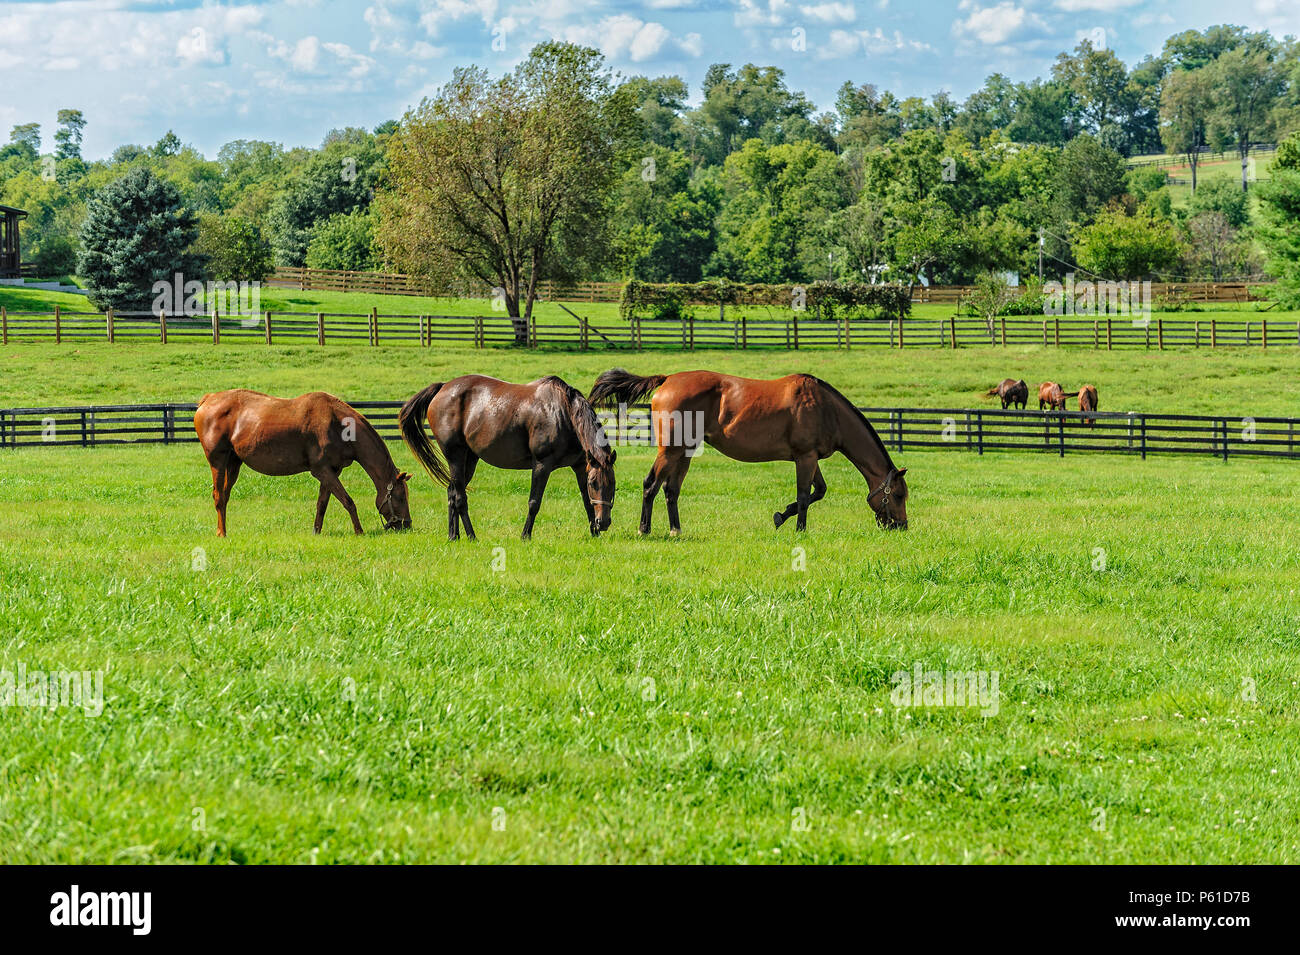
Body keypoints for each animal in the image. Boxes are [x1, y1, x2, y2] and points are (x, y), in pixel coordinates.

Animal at [192, 389, 410, 537]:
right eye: (400, 497)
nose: (407, 524)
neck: (338, 424)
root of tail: (208, 399)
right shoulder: (322, 471)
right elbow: (348, 501)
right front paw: (359, 531)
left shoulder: (332, 471)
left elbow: (322, 504)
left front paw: (316, 531)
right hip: (218, 462)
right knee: (219, 496)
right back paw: (222, 533)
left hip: (234, 464)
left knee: (225, 496)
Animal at [397, 374, 616, 540]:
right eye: (594, 483)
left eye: (613, 484)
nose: (604, 523)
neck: (564, 413)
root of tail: (443, 388)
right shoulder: (542, 465)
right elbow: (534, 502)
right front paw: (525, 535)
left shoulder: (580, 466)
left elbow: (586, 501)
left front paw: (594, 534)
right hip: (455, 456)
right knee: (459, 497)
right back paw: (471, 536)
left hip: (469, 459)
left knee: (452, 492)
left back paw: (454, 536)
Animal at [587, 369, 904, 537]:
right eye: (899, 496)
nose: (901, 526)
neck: (826, 408)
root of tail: (667, 379)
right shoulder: (805, 457)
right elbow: (805, 496)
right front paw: (799, 528)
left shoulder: (811, 458)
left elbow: (819, 491)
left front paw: (781, 515)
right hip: (671, 450)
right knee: (651, 485)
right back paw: (644, 528)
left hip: (684, 452)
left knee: (671, 490)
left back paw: (676, 530)